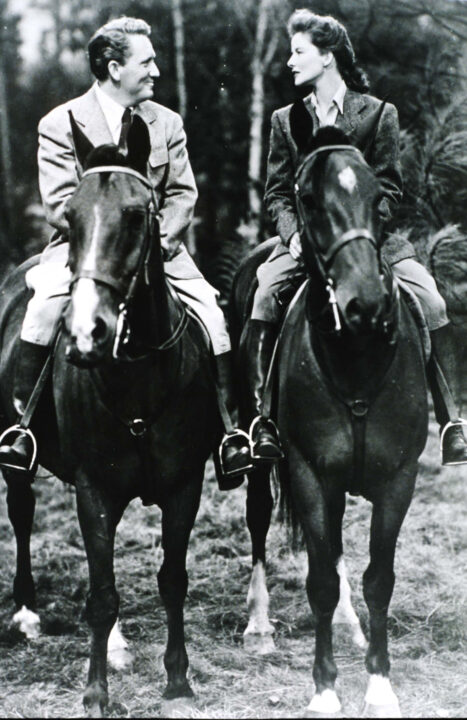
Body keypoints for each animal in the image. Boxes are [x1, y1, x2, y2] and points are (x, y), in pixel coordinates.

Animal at [232, 128, 430, 716]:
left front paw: (381, 686)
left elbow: (378, 579)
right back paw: (258, 626)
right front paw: (323, 690)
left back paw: (348, 625)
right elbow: (319, 578)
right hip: (261, 462)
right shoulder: (308, 472)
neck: (357, 359)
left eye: (378, 195)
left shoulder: (399, 478)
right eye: (308, 199)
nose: (365, 301)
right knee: (258, 519)